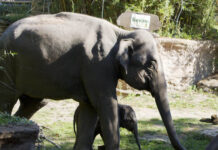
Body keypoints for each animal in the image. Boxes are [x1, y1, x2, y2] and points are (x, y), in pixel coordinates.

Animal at [0, 12, 186, 149]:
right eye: (152, 64)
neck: (121, 33)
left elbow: (89, 110)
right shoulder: (98, 65)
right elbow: (105, 104)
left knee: (34, 102)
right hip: (6, 62)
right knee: (7, 99)